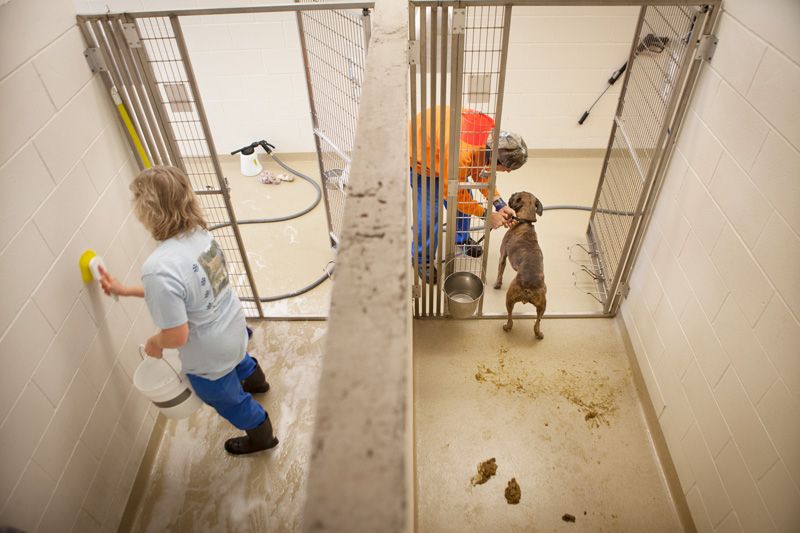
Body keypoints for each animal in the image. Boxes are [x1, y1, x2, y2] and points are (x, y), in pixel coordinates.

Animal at [490, 193, 548, 338]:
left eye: (515, 195)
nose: (511, 195)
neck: (525, 221)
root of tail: (528, 288)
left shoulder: (502, 256)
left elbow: (500, 273)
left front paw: (497, 284)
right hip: (542, 306)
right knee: (537, 322)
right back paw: (539, 334)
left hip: (509, 299)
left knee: (510, 317)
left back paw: (507, 327)